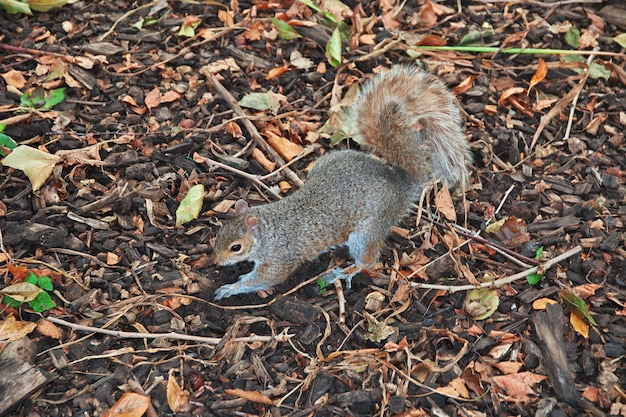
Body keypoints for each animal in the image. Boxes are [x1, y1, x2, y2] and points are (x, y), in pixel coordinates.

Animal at [210, 65, 468, 300]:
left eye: (235, 247)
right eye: (219, 233)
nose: (216, 261)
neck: (267, 232)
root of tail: (399, 185)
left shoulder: (280, 259)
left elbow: (267, 278)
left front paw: (231, 288)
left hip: (365, 233)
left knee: (368, 260)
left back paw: (344, 272)